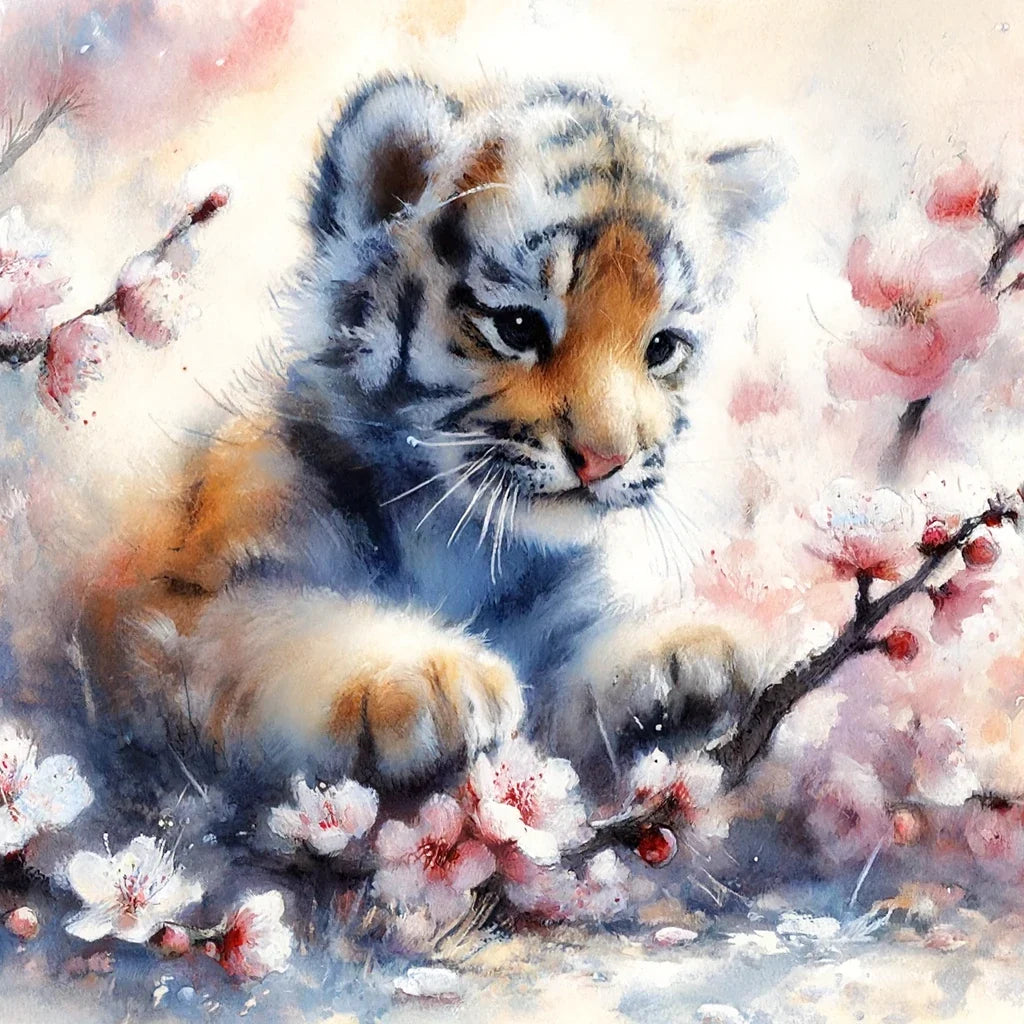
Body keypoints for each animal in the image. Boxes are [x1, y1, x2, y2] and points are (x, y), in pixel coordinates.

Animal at [76, 75, 784, 797]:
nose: (604, 459)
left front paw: (678, 659)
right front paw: (423, 677)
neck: (457, 537)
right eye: (518, 326)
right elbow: (284, 624)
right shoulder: (185, 605)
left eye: (662, 348)